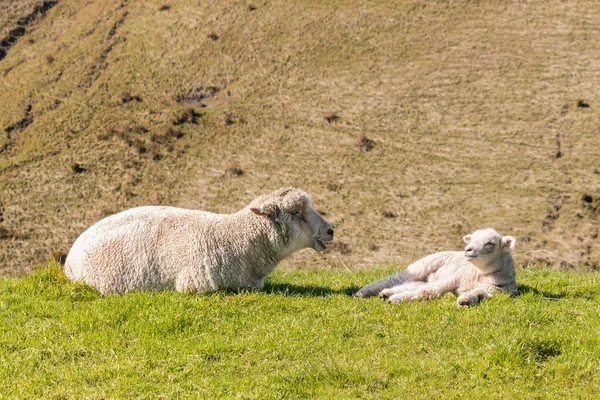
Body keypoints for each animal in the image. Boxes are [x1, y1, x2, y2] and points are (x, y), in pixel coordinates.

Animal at [354, 228, 516, 306]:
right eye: (472, 239)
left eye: (490, 243)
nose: (467, 249)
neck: (479, 275)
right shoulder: (454, 278)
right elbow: (429, 291)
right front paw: (398, 300)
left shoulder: (491, 292)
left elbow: (476, 295)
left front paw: (464, 301)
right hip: (422, 266)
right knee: (395, 279)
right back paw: (364, 292)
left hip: (426, 277)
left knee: (410, 285)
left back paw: (386, 294)